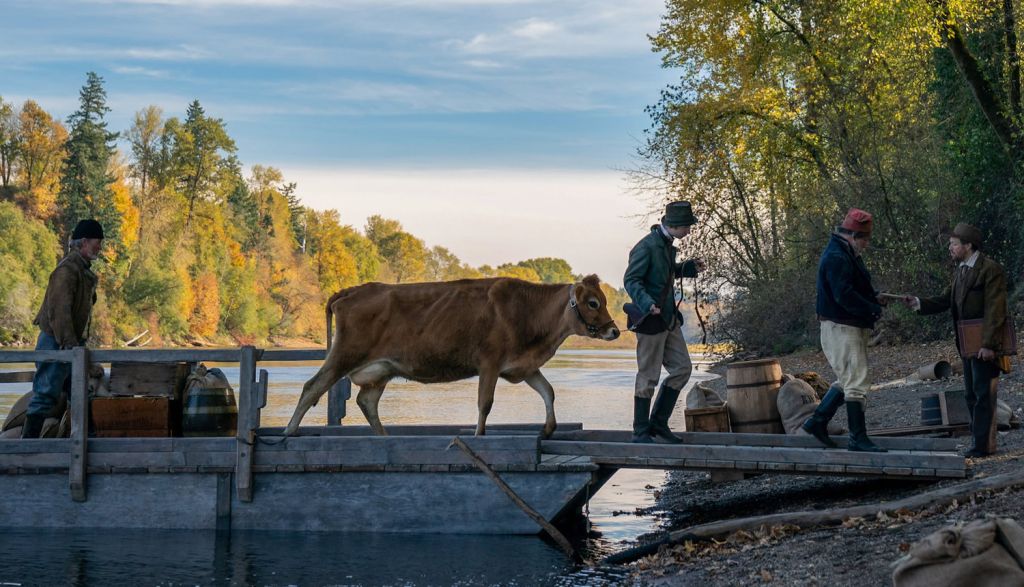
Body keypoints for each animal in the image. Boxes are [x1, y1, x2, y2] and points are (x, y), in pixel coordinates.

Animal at [282, 274, 614, 434]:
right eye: (593, 303)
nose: (614, 330)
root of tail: (351, 290)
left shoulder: (523, 366)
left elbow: (548, 391)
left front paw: (548, 428)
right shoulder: (489, 362)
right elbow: (485, 404)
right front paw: (478, 436)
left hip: (380, 370)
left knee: (367, 402)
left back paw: (385, 437)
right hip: (344, 355)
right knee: (312, 387)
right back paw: (288, 432)